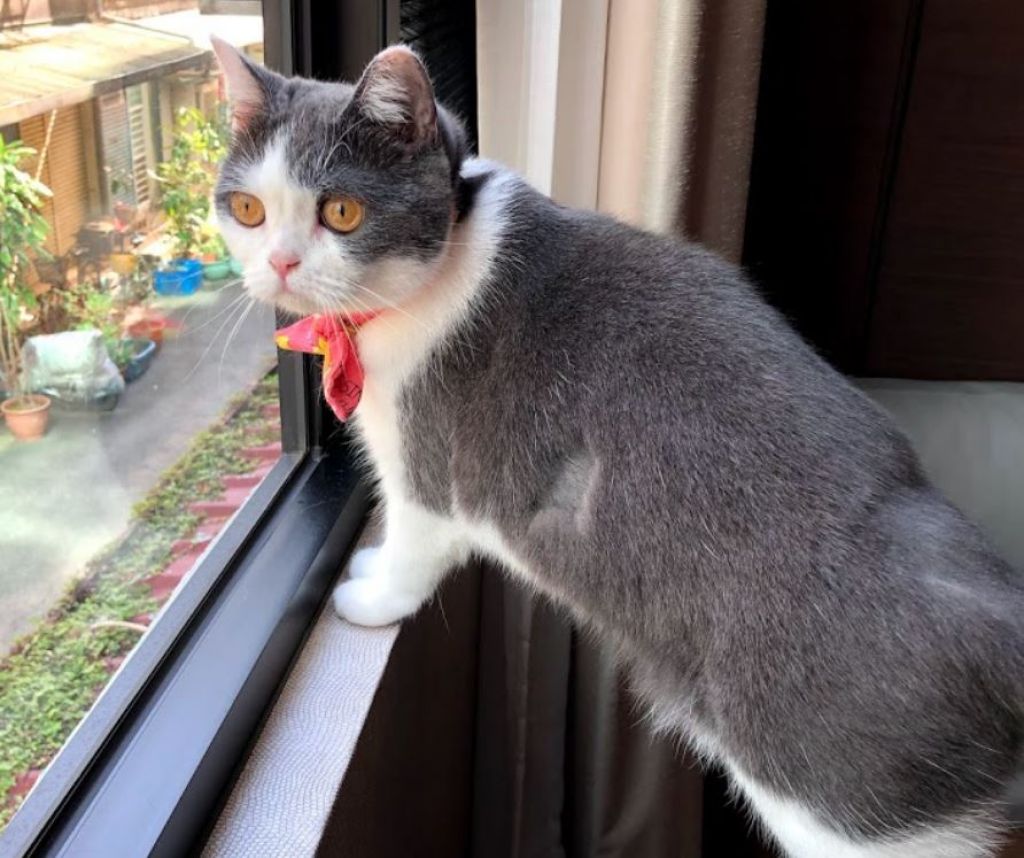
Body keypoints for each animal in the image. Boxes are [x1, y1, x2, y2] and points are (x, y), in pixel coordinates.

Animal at [211, 38, 1024, 858]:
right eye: (248, 209)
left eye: (341, 211)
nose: (279, 263)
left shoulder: (430, 471)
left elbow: (414, 548)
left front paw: (373, 598)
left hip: (852, 812)